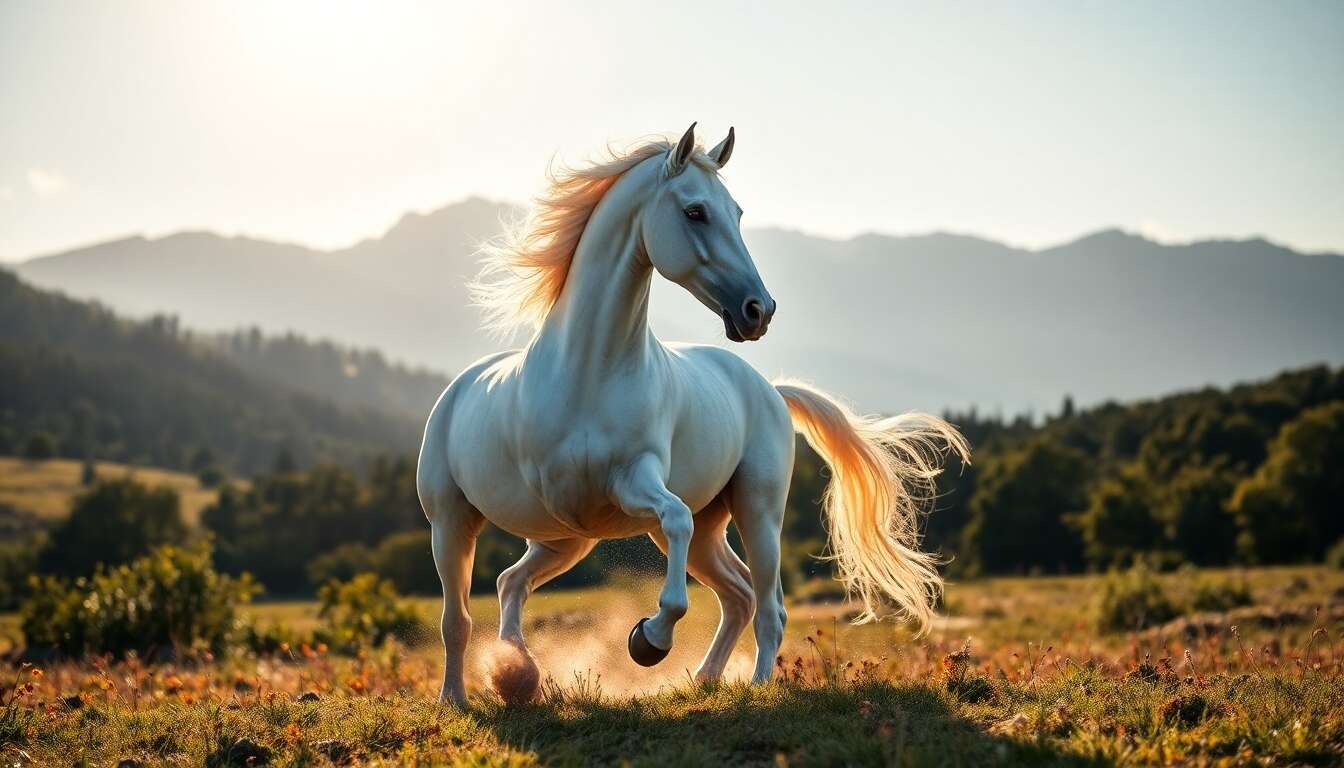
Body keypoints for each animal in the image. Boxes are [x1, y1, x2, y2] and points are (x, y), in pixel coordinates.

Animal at [416, 123, 969, 706]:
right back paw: (476, 689)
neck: (588, 369)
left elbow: (676, 535)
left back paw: (742, 685)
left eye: (738, 212)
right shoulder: (571, 498)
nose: (758, 311)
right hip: (479, 527)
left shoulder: (635, 483)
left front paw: (648, 639)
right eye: (696, 211)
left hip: (747, 512)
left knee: (761, 604)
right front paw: (638, 642)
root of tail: (770, 389)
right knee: (485, 600)